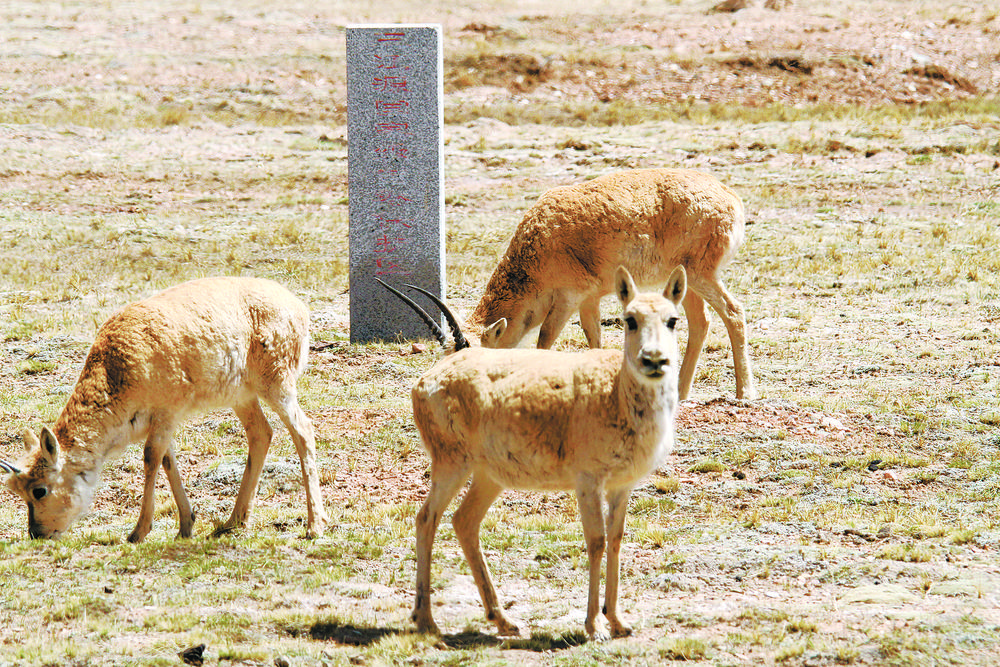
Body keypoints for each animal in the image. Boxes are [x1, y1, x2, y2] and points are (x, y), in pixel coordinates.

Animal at [1, 277, 328, 543]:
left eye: (39, 490)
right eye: (17, 491)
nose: (37, 534)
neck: (114, 370)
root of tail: (299, 306)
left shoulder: (167, 411)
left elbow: (151, 458)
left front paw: (138, 531)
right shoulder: (159, 421)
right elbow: (168, 459)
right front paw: (186, 525)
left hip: (277, 384)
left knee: (304, 430)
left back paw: (314, 525)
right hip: (242, 396)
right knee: (261, 433)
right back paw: (233, 521)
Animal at [379, 264, 685, 641]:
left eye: (672, 320)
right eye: (630, 319)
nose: (654, 360)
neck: (617, 393)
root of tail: (427, 379)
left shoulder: (621, 486)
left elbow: (615, 540)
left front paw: (618, 622)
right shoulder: (587, 482)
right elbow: (596, 541)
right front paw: (594, 626)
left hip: (488, 476)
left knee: (463, 521)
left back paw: (503, 620)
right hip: (451, 464)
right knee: (426, 518)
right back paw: (426, 620)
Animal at [467, 168, 756, 400]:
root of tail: (732, 198)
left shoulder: (569, 297)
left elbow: (545, 338)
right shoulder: (589, 299)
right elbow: (592, 334)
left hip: (701, 275)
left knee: (734, 312)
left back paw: (744, 393)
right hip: (687, 282)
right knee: (701, 322)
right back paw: (681, 392)